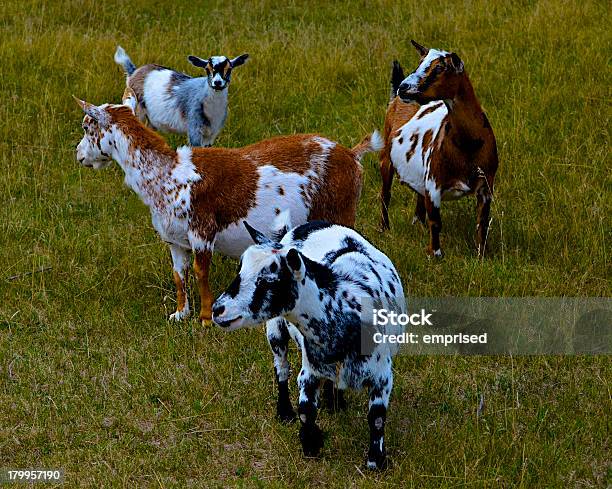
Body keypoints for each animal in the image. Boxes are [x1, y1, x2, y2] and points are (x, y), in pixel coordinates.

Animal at [73, 97, 382, 322]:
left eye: (87, 126)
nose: (78, 155)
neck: (167, 174)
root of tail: (351, 154)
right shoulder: (174, 240)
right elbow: (179, 275)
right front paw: (180, 314)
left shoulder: (202, 232)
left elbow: (201, 272)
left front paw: (205, 319)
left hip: (341, 211)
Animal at [115, 46, 249, 146]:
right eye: (207, 69)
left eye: (229, 69)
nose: (217, 83)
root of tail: (134, 72)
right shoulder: (194, 130)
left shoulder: (211, 134)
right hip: (138, 110)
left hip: (151, 120)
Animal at [213, 219, 404, 468]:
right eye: (240, 270)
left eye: (267, 281)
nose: (217, 310)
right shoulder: (309, 371)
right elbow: (305, 410)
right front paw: (311, 443)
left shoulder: (383, 375)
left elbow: (377, 418)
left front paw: (375, 461)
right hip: (275, 329)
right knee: (281, 367)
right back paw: (285, 412)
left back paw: (335, 404)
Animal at [380, 40, 500, 258]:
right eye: (419, 62)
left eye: (439, 68)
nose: (404, 87)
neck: (467, 147)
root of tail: (395, 99)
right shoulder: (434, 184)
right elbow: (436, 222)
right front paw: (435, 255)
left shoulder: (487, 184)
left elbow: (482, 223)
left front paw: (481, 255)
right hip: (386, 158)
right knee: (385, 195)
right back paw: (384, 229)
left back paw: (417, 225)